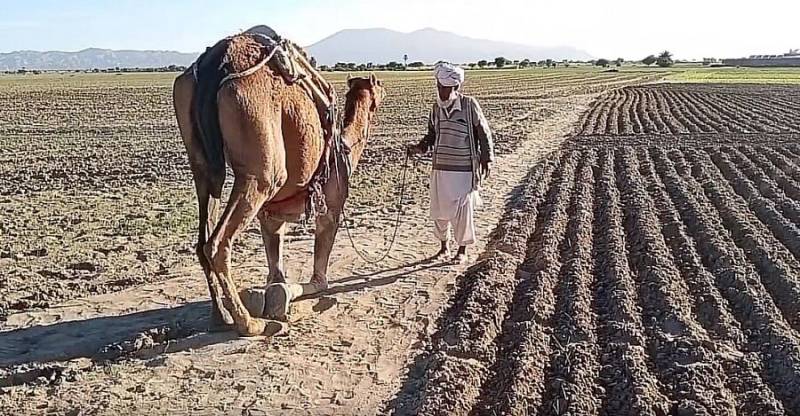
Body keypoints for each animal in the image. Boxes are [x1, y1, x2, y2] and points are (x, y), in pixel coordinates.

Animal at [173, 30, 386, 336]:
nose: (383, 89)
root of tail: (217, 64)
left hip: (202, 166)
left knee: (202, 238)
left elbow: (276, 273)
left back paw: (221, 316)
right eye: (378, 86)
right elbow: (319, 279)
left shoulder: (271, 216)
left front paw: (273, 296)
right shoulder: (331, 207)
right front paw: (280, 301)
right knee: (217, 243)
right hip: (263, 172)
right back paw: (249, 323)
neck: (345, 147)